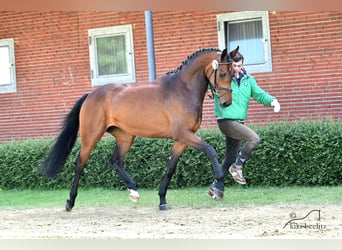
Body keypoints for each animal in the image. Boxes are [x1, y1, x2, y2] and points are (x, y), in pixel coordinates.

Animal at [40, 46, 239, 211]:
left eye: (233, 74)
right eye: (222, 73)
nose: (226, 103)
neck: (183, 90)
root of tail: (91, 95)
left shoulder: (182, 139)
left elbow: (170, 168)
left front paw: (162, 201)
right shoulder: (184, 134)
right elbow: (210, 150)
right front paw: (218, 187)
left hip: (125, 137)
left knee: (115, 161)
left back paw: (134, 192)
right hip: (91, 136)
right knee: (80, 164)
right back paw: (70, 202)